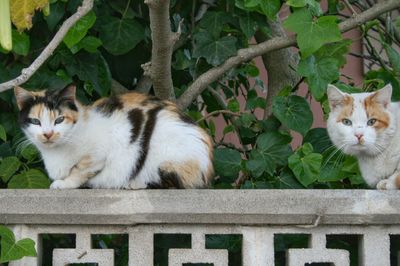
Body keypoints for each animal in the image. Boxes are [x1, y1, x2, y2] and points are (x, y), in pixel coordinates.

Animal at [15, 85, 214, 189]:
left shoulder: (100, 153)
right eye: (35, 121)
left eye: (59, 119)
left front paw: (64, 184)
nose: (48, 134)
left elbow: (79, 170)